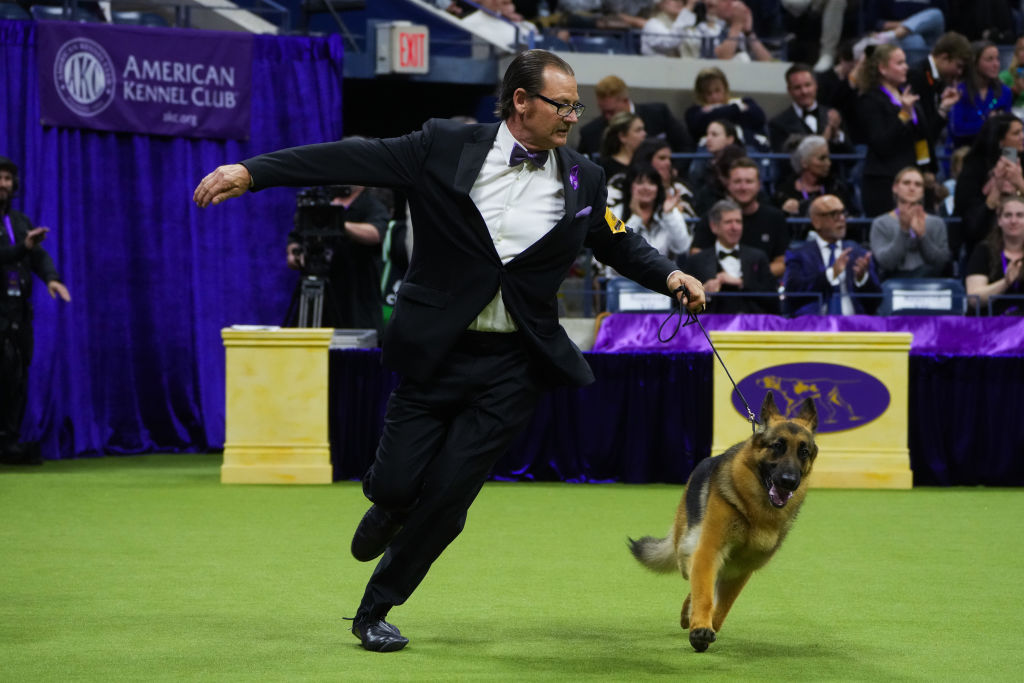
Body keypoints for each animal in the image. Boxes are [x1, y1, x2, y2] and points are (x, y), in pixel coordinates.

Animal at [630, 389, 815, 651]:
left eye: (804, 451)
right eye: (777, 446)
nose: (789, 481)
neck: (754, 510)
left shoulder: (739, 569)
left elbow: (721, 607)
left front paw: (705, 626)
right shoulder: (709, 549)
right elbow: (705, 594)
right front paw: (700, 629)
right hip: (688, 543)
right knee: (693, 572)